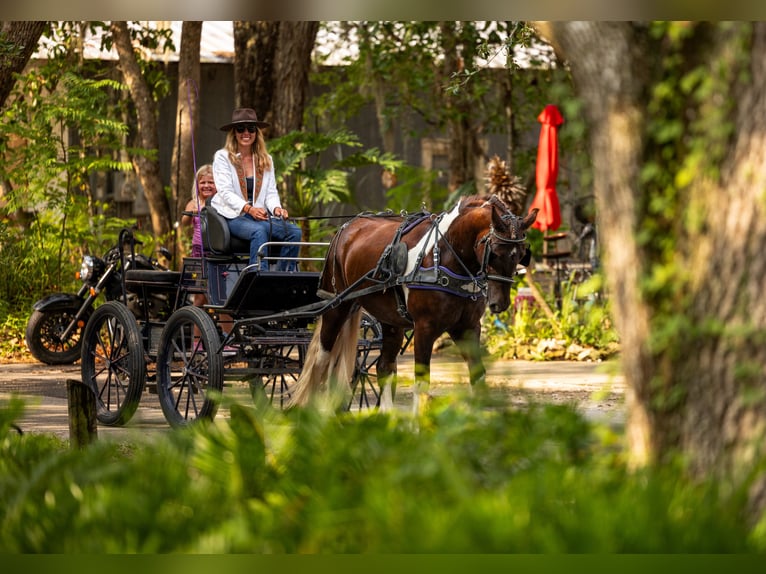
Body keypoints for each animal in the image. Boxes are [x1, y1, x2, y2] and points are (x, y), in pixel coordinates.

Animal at [287, 194, 538, 414]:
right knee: (321, 359)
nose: (499, 303)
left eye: (521, 255)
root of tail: (347, 227)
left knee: (384, 367)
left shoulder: (467, 328)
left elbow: (478, 376)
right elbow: (422, 380)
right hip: (337, 306)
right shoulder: (424, 327)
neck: (445, 255)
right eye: (493, 252)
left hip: (390, 320)